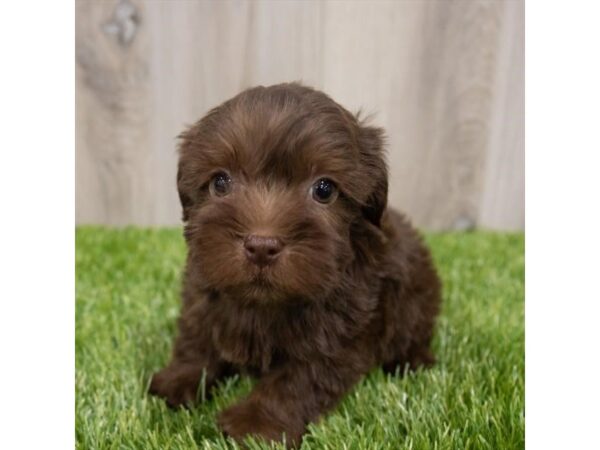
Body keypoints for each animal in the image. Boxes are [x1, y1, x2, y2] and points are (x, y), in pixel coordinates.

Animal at [150, 83, 440, 446]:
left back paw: (412, 361)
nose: (262, 246)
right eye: (220, 182)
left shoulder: (340, 327)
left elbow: (298, 378)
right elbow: (197, 338)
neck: (264, 303)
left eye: (324, 189)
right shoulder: (204, 294)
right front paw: (178, 380)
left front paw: (255, 424)